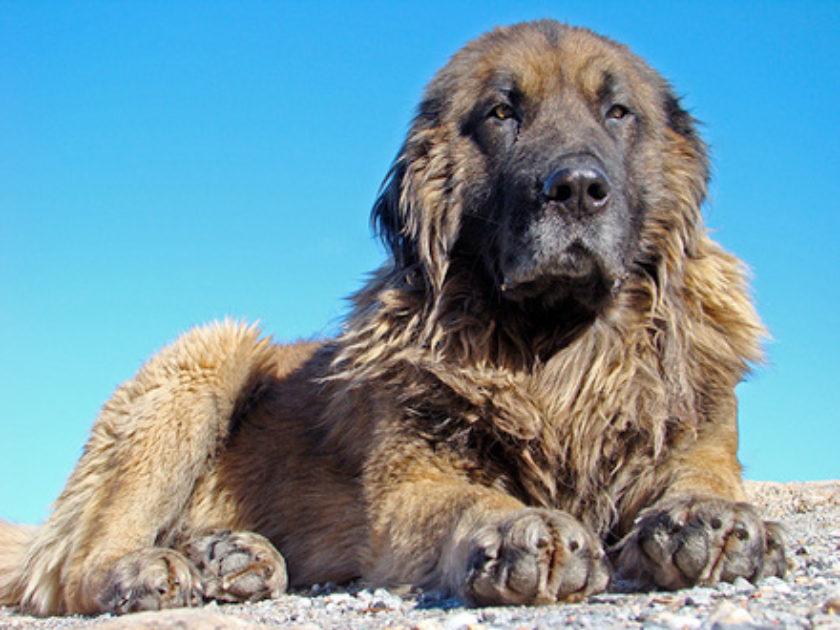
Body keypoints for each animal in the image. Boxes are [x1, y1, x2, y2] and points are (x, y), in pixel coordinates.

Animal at [1, 21, 788, 616]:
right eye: (502, 112)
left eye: (618, 112)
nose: (575, 188)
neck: (555, 347)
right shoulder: (411, 485)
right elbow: (468, 500)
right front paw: (519, 529)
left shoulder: (697, 437)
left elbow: (703, 478)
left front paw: (709, 520)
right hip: (211, 355)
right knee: (73, 564)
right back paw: (146, 571)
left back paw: (231, 555)